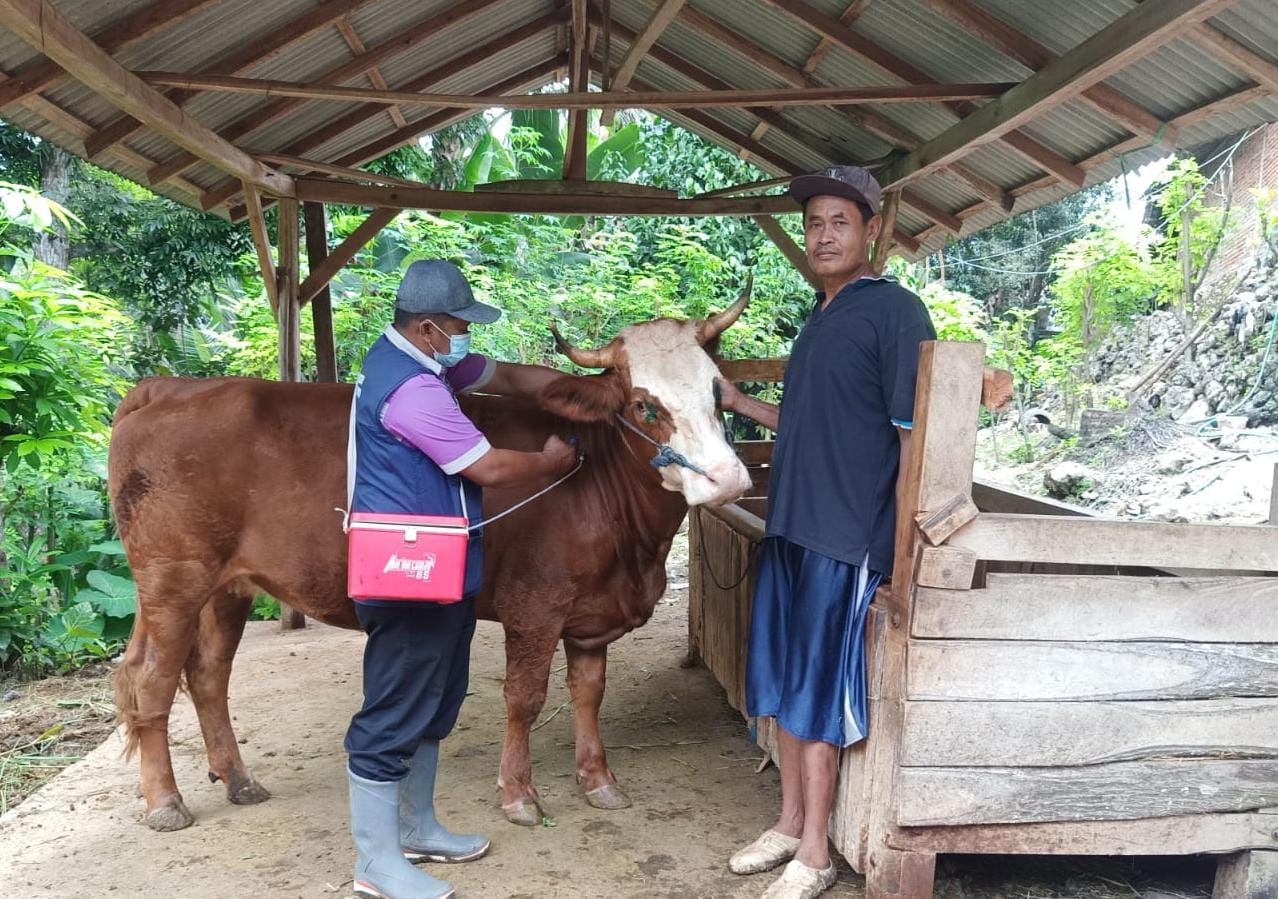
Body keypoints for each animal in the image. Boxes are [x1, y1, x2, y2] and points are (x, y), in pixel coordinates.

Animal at [109, 294, 751, 828]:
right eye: (644, 405)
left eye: (718, 390)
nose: (727, 480)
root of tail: (168, 386)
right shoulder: (534, 604)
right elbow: (525, 697)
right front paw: (519, 794)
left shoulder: (591, 614)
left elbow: (588, 692)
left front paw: (598, 781)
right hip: (173, 579)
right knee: (151, 680)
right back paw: (165, 801)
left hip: (227, 587)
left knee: (208, 675)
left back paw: (238, 780)